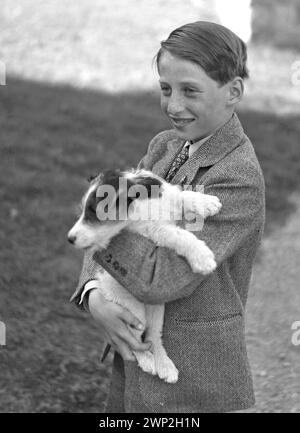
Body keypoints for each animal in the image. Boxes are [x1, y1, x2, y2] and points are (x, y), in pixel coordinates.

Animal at [68, 169, 223, 382]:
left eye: (93, 211)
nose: (70, 238)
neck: (140, 206)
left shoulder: (166, 198)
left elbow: (182, 195)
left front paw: (206, 202)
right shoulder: (154, 231)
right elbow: (178, 234)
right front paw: (202, 256)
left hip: (156, 310)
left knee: (153, 337)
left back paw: (165, 366)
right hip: (130, 309)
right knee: (134, 342)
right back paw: (147, 361)